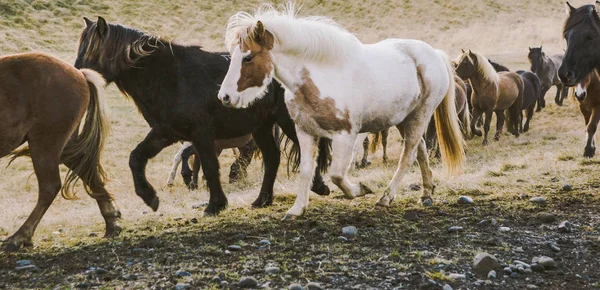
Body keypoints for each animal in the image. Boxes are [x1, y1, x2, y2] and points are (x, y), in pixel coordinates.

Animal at [0, 52, 122, 251]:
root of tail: (80, 74)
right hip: (61, 147)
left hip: (45, 144)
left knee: (50, 187)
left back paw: (20, 237)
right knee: (86, 171)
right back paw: (112, 222)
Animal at [74, 15, 332, 215]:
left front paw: (215, 204)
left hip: (287, 120)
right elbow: (136, 157)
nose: (78, 77)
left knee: (308, 150)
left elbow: (208, 165)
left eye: (90, 51)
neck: (169, 77)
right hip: (262, 126)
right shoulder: (165, 132)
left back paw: (319, 186)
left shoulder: (201, 134)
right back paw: (262, 200)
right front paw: (150, 197)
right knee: (272, 157)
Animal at [218, 2, 466, 220]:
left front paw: (361, 189)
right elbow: (307, 170)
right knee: (420, 150)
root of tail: (435, 54)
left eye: (248, 57)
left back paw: (385, 198)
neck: (322, 77)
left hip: (420, 114)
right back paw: (426, 193)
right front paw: (296, 210)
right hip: (404, 119)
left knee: (408, 156)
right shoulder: (305, 132)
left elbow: (337, 174)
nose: (225, 97)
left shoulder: (345, 135)